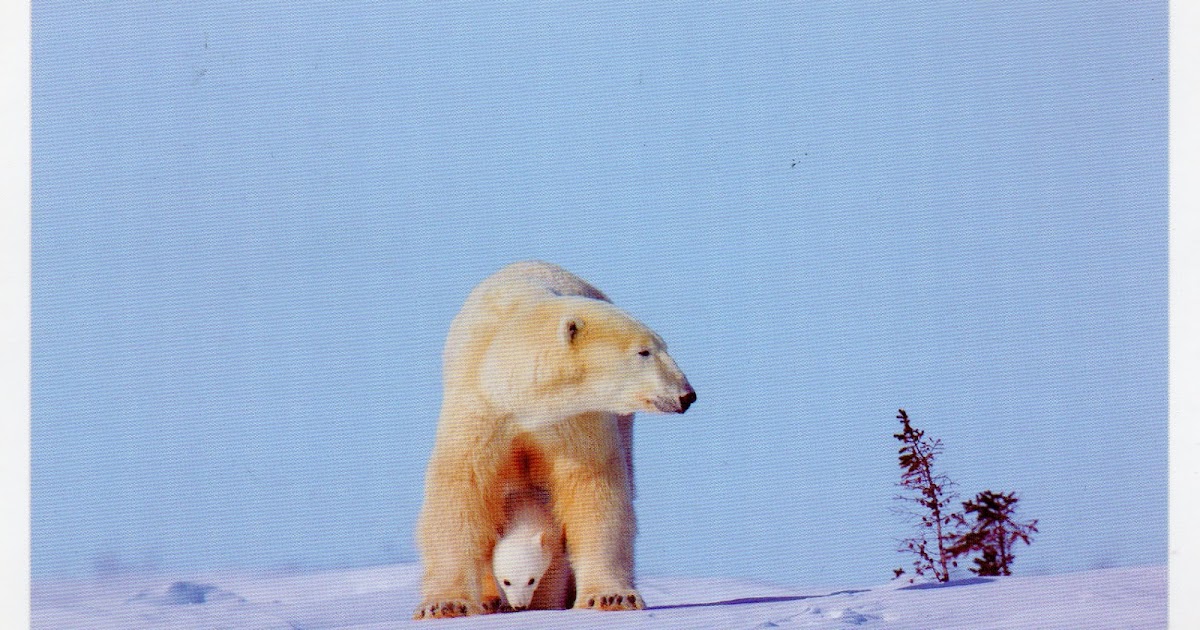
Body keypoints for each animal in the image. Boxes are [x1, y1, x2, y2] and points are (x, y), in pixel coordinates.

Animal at [412, 261, 696, 619]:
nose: (687, 395)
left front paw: (611, 597)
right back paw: (491, 599)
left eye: (663, 347)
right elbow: (462, 489)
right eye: (644, 352)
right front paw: (446, 604)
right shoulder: (481, 408)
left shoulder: (575, 419)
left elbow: (592, 489)